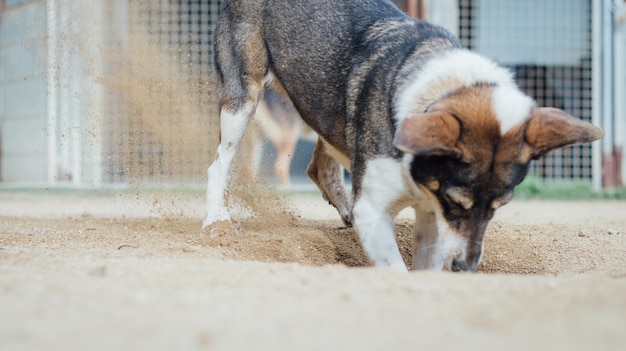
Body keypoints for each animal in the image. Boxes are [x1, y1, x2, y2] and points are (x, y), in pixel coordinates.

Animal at [202, 0, 604, 272]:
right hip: (243, 99)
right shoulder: (380, 209)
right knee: (219, 163)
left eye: (498, 208)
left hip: (327, 111)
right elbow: (396, 269)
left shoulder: (430, 217)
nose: (465, 268)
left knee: (320, 168)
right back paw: (216, 221)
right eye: (457, 202)